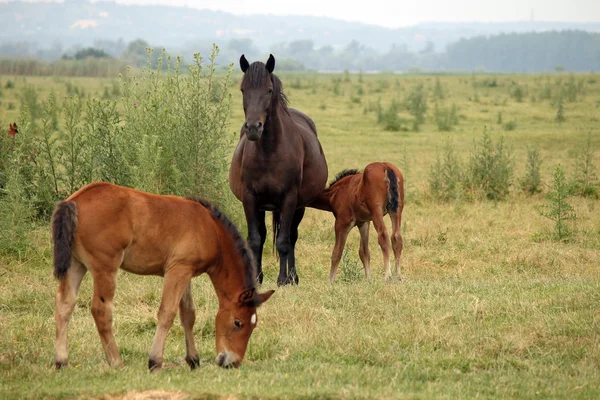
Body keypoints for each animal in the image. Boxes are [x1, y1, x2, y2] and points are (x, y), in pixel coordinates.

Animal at [53, 181, 274, 368]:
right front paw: (155, 361)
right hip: (105, 268)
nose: (231, 363)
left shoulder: (186, 271)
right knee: (101, 310)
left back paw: (61, 361)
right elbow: (168, 313)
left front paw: (193, 360)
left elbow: (188, 314)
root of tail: (75, 201)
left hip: (76, 265)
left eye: (253, 326)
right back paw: (116, 362)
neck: (211, 230)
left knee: (65, 305)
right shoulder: (177, 270)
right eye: (238, 323)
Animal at [229, 54, 328, 286]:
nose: (253, 127)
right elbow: (255, 239)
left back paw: (293, 277)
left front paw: (283, 279)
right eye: (243, 89)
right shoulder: (250, 198)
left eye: (268, 90)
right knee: (266, 235)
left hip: (299, 206)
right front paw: (256, 279)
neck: (268, 152)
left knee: (292, 236)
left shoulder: (289, 198)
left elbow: (283, 241)